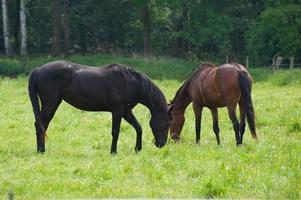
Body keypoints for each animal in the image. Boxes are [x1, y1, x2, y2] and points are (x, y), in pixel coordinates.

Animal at [28, 60, 171, 154]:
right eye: (167, 122)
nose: (161, 144)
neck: (130, 82)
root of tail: (38, 70)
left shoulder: (126, 111)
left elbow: (138, 127)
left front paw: (137, 149)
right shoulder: (117, 110)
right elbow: (115, 132)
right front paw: (113, 152)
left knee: (42, 125)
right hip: (50, 104)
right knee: (40, 124)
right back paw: (41, 150)